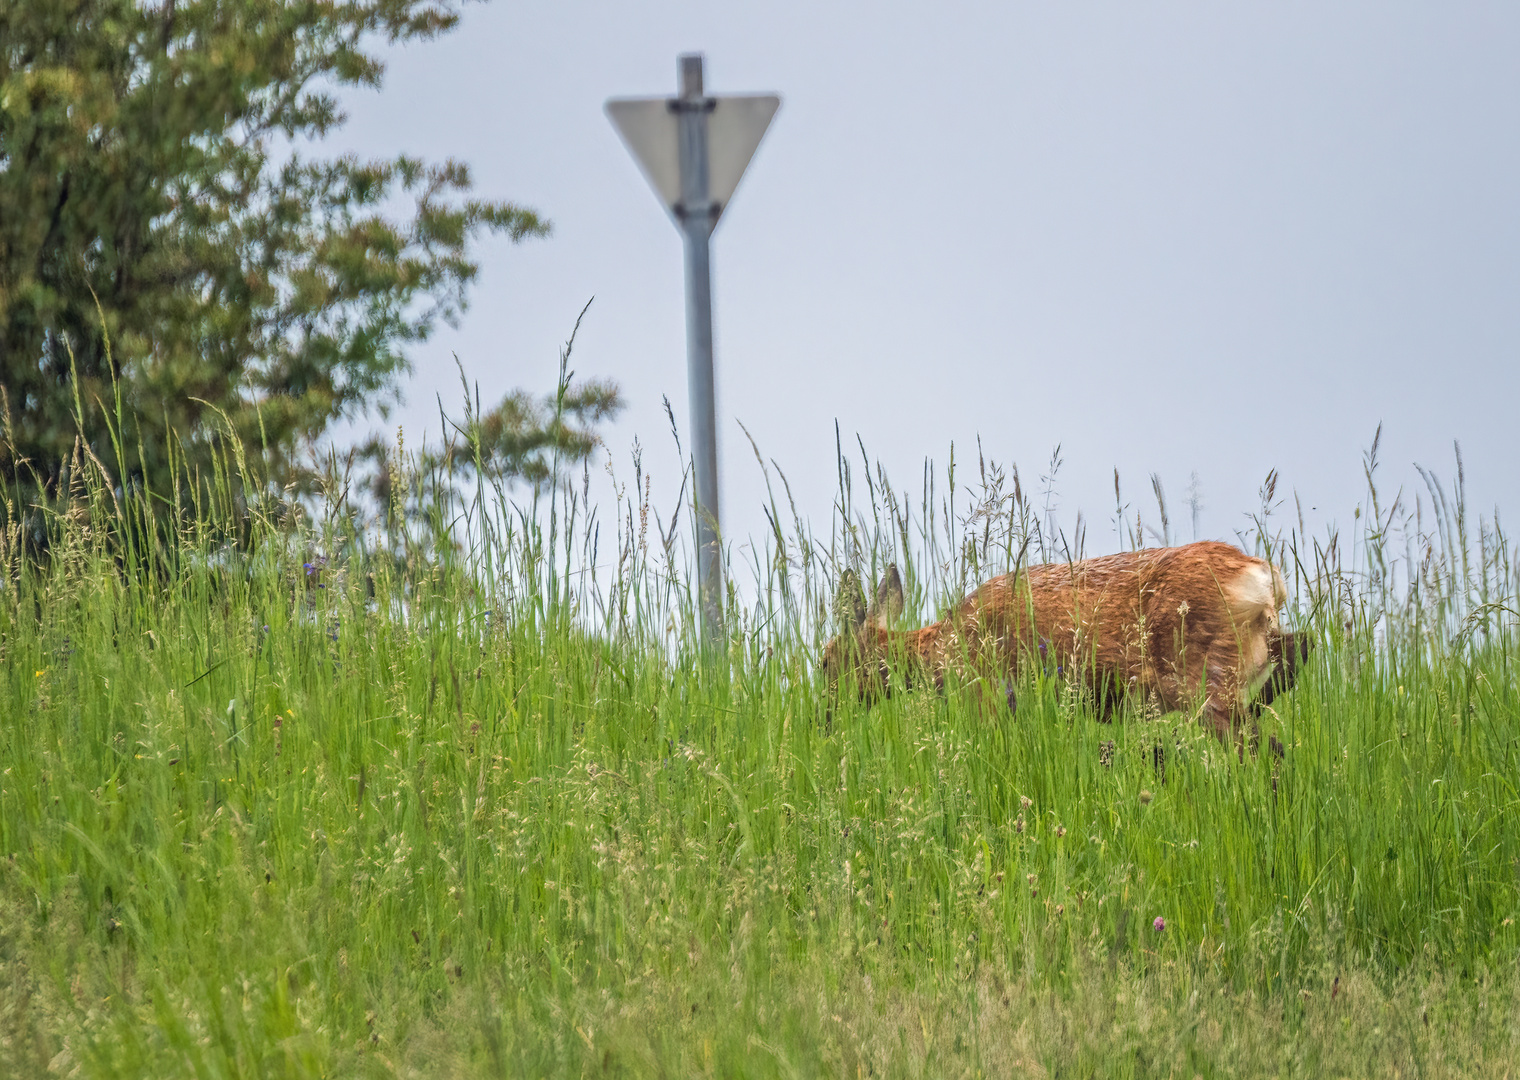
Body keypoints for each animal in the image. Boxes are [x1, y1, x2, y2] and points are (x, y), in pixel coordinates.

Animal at [826, 540, 1313, 753]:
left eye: (826, 661)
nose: (824, 718)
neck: (943, 648)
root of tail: (1266, 578)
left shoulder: (986, 697)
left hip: (1203, 677)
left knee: (1263, 745)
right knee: (1299, 651)